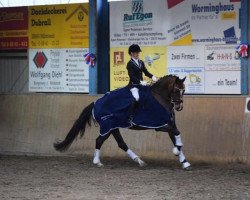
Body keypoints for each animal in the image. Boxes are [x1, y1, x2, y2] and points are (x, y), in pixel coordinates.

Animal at [53, 76, 191, 170]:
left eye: (183, 90)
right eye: (176, 90)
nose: (179, 107)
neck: (159, 99)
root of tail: (95, 103)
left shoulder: (169, 124)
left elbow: (176, 136)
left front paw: (184, 162)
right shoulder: (160, 125)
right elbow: (177, 134)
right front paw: (176, 151)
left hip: (113, 127)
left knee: (121, 143)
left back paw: (139, 161)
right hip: (107, 127)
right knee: (99, 140)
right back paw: (97, 162)